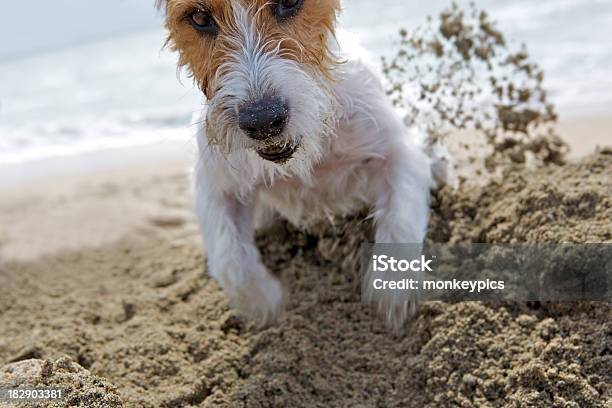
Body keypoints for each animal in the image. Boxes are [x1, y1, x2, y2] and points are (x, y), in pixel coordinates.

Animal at [158, 0, 436, 326]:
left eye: (289, 3)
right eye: (200, 17)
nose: (263, 121)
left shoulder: (398, 150)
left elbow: (400, 221)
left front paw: (392, 297)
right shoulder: (215, 184)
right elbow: (230, 260)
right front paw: (268, 304)